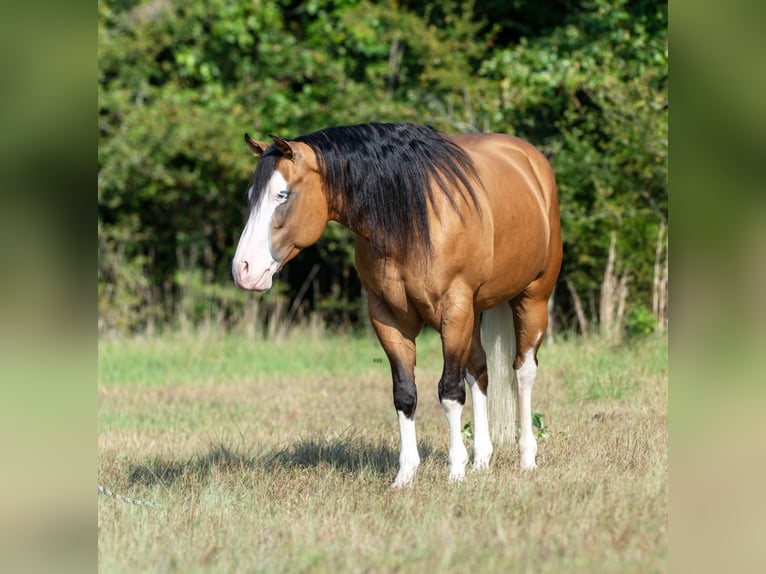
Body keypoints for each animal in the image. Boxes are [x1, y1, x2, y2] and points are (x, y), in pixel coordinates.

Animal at [232, 122, 562, 487]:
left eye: (282, 195)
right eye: (251, 196)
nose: (244, 269)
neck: (411, 220)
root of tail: (531, 161)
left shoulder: (453, 311)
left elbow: (449, 391)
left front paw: (455, 472)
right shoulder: (388, 318)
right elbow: (405, 394)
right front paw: (406, 475)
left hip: (531, 300)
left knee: (523, 372)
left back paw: (526, 458)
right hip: (475, 313)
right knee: (479, 371)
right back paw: (481, 460)